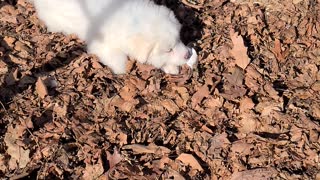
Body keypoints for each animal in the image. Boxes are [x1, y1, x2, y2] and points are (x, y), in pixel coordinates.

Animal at [32, 0, 192, 74]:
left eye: (179, 39)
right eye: (168, 50)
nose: (188, 55)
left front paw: (172, 68)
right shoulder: (101, 44)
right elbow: (115, 57)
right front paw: (121, 70)